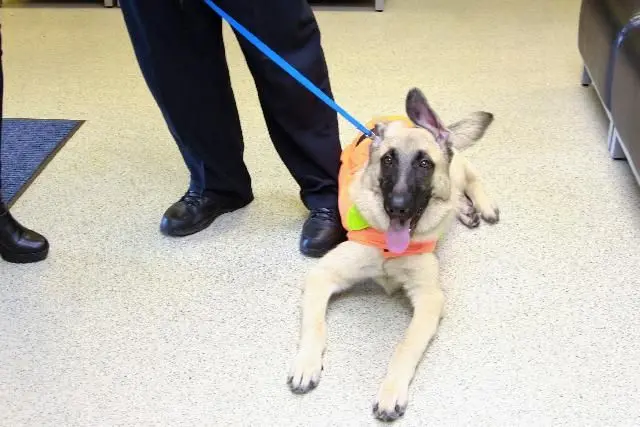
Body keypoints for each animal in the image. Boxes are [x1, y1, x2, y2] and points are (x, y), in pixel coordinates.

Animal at [286, 87, 499, 422]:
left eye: (424, 164)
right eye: (388, 160)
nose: (397, 207)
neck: (389, 246)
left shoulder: (429, 299)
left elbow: (405, 346)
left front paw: (391, 391)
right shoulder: (321, 276)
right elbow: (315, 325)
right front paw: (306, 363)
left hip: (458, 172)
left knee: (470, 178)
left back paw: (482, 205)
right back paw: (464, 211)